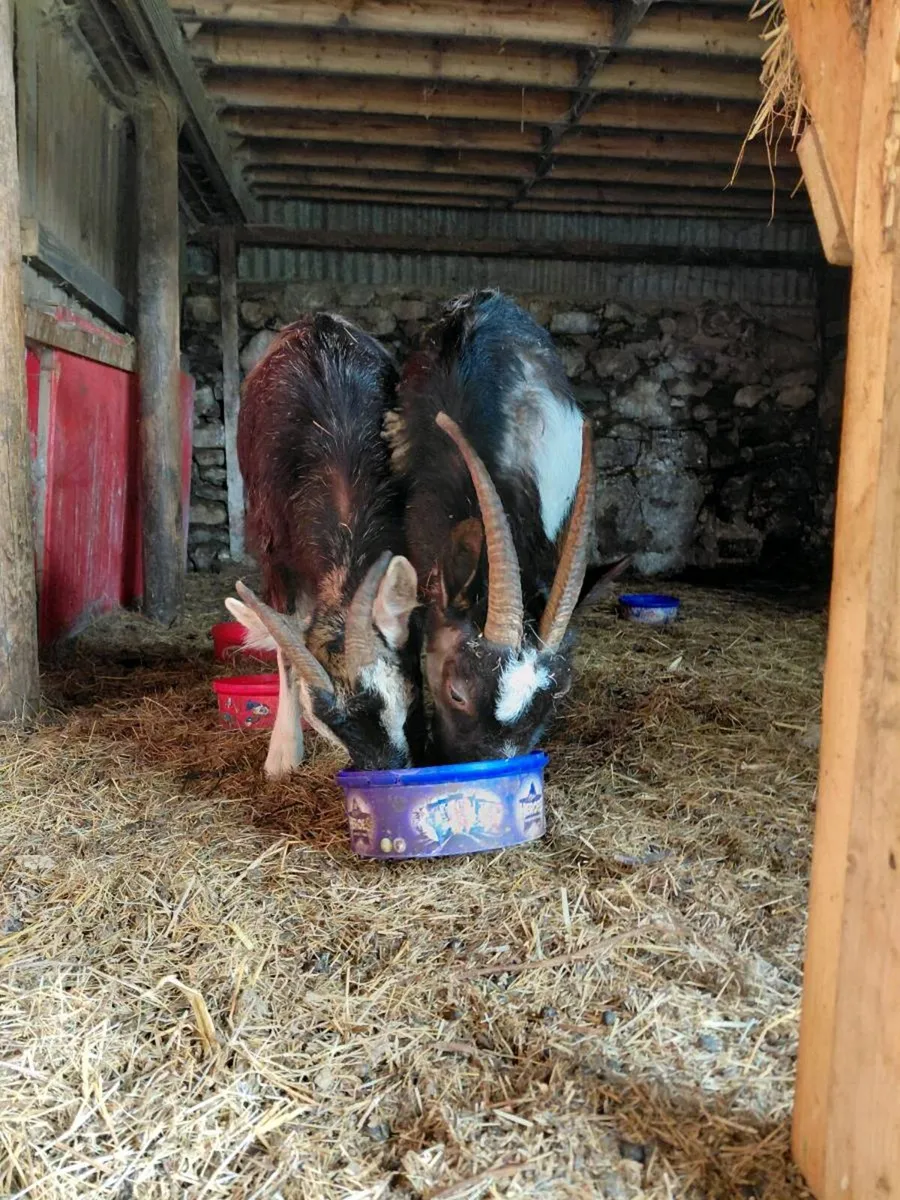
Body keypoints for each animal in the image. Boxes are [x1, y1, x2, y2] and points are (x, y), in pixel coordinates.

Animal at [225, 313, 423, 775]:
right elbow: (285, 646)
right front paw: (282, 753)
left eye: (397, 700)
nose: (388, 773)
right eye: (327, 721)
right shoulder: (272, 551)